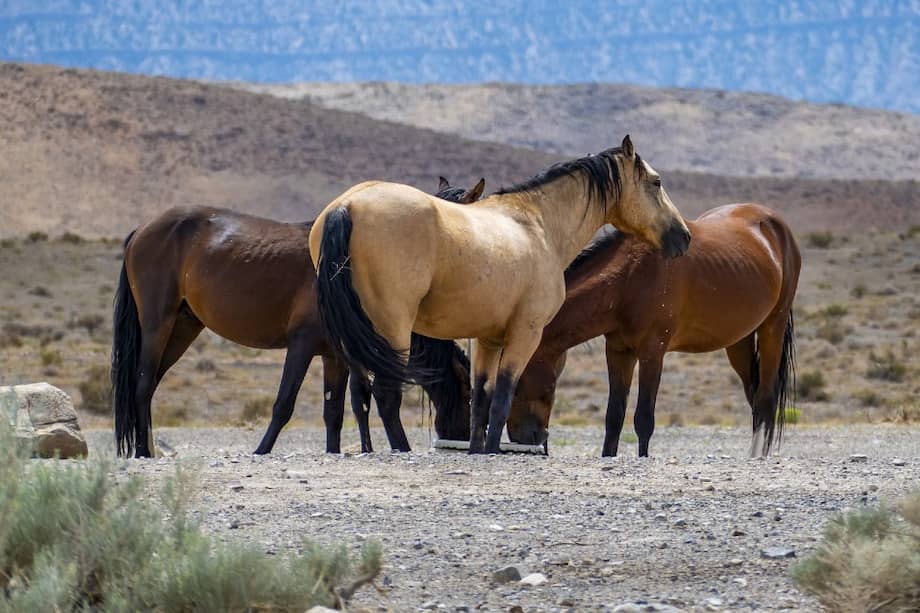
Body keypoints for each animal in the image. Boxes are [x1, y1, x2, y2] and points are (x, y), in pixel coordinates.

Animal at [111, 178, 485, 458]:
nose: (460, 439)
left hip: (183, 327)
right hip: (158, 323)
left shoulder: (336, 356)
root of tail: (141, 230)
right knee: (143, 383)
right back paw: (142, 452)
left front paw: (337, 452)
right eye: (468, 393)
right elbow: (285, 403)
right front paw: (261, 451)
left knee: (149, 384)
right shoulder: (302, 344)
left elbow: (337, 410)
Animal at [310, 135, 691, 454]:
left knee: (360, 395)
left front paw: (478, 450)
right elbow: (503, 398)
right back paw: (401, 449)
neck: (538, 225)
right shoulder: (525, 334)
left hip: (356, 337)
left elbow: (481, 399)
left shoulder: (488, 339)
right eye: (656, 182)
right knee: (386, 396)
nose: (683, 236)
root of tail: (347, 207)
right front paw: (493, 450)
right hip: (392, 330)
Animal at [505, 203, 801, 458]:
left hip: (772, 328)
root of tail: (776, 225)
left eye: (517, 381)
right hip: (739, 341)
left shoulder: (652, 353)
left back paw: (757, 456)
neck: (629, 279)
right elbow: (614, 416)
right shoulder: (618, 351)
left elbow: (643, 419)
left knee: (765, 398)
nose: (523, 436)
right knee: (754, 395)